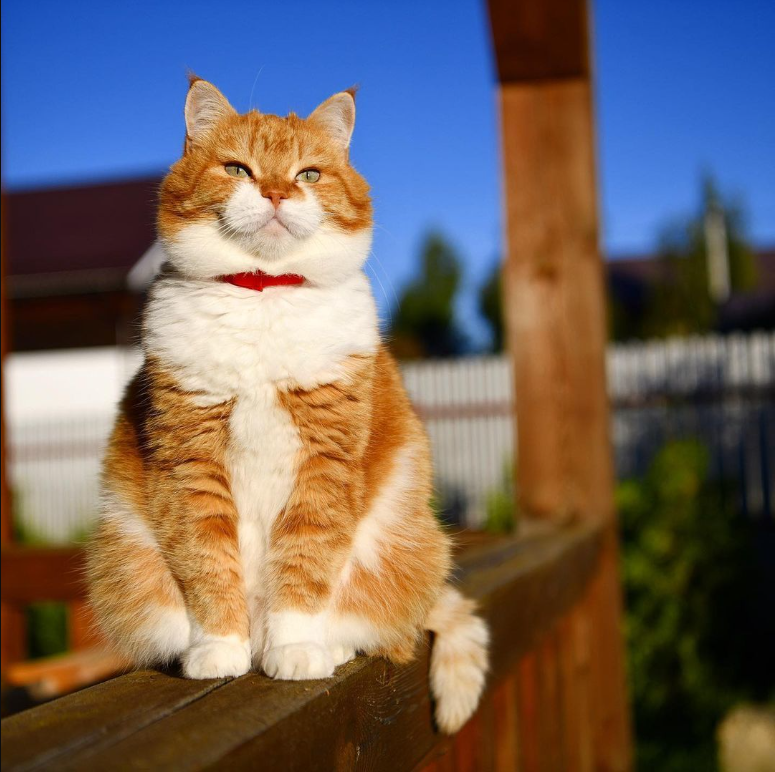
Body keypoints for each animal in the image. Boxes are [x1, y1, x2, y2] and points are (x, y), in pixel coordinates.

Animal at [88, 78, 488, 736]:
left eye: (308, 173)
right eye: (237, 169)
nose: (276, 191)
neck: (264, 293)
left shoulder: (325, 460)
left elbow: (306, 558)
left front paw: (297, 648)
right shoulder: (191, 461)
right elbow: (207, 558)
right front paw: (218, 648)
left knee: (383, 627)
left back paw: (328, 645)